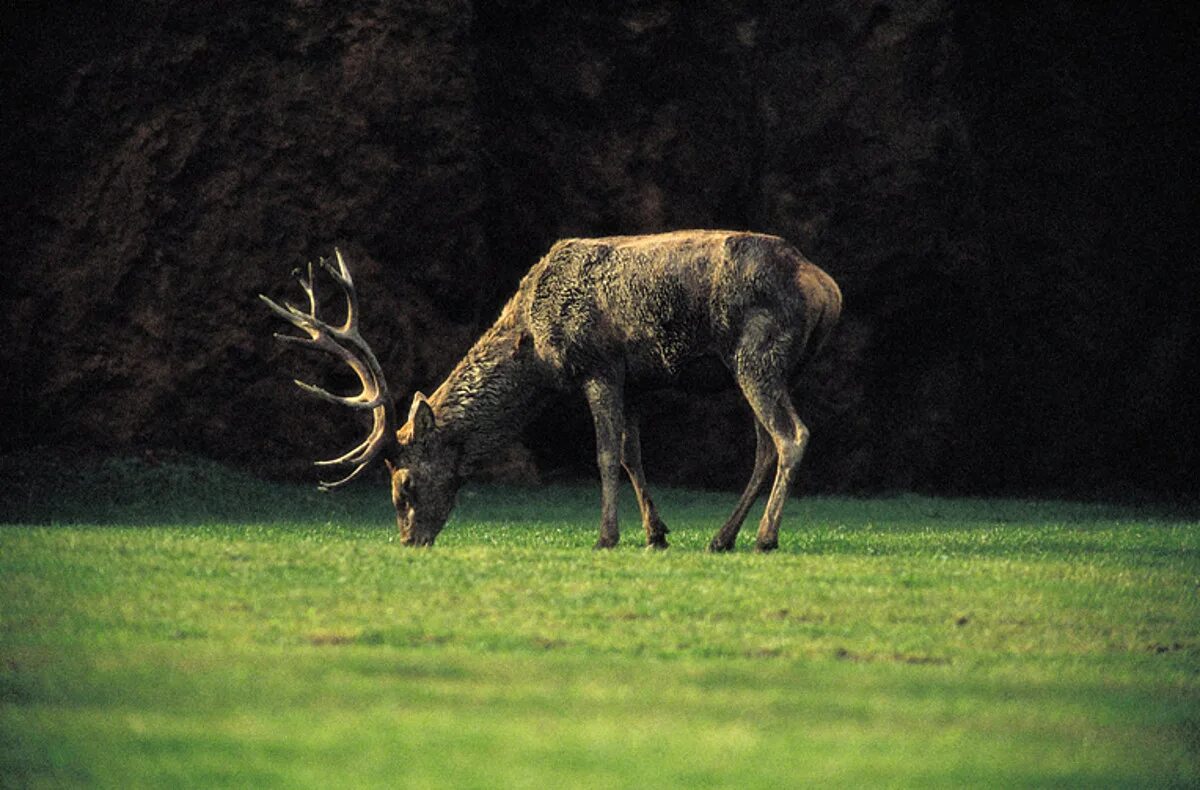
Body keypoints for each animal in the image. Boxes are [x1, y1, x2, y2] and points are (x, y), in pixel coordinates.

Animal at [262, 228, 844, 547]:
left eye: (403, 485)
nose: (411, 542)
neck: (537, 348)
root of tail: (828, 288)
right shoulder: (635, 381)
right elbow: (633, 454)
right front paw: (656, 534)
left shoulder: (598, 366)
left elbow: (605, 454)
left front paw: (606, 537)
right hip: (765, 367)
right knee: (765, 446)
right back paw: (722, 538)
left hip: (759, 353)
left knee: (792, 436)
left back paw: (765, 538)